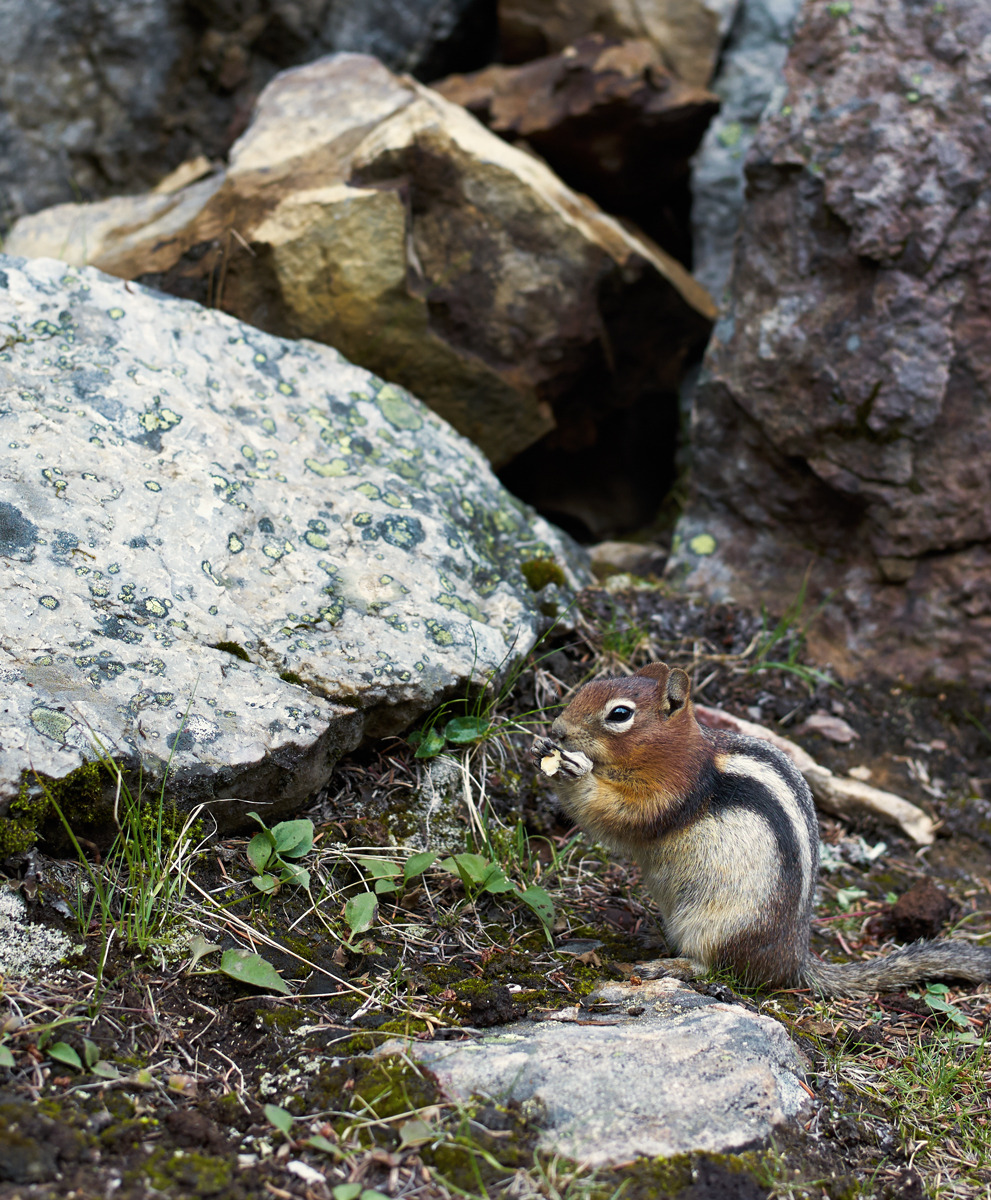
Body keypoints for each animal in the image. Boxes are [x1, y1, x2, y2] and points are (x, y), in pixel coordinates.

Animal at [532, 662, 988, 998]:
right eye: (588, 686)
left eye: (620, 714)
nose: (557, 730)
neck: (677, 752)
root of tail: (795, 960)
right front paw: (540, 749)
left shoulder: (672, 793)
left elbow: (622, 815)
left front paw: (573, 773)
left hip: (718, 927)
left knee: (716, 968)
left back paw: (668, 964)